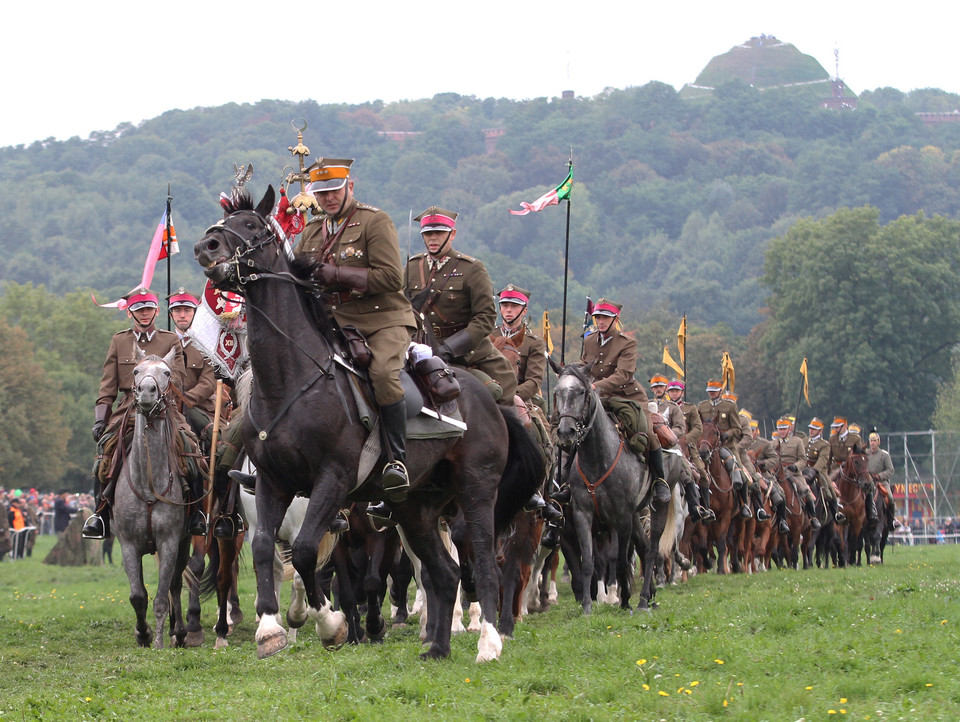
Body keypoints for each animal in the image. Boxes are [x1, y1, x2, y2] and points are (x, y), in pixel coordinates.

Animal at [113, 346, 192, 644]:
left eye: (167, 373)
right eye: (136, 370)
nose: (147, 391)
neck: (147, 483)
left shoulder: (169, 542)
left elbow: (161, 596)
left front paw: (158, 640)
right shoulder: (127, 544)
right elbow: (138, 596)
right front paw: (143, 633)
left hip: (184, 542)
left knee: (175, 584)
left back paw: (178, 631)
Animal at [197, 186, 540, 660]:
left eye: (250, 225)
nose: (205, 247)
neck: (292, 381)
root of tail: (491, 400)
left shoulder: (334, 479)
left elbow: (306, 551)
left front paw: (330, 625)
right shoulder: (271, 481)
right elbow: (268, 546)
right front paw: (269, 629)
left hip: (476, 491)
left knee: (485, 563)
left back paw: (488, 641)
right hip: (415, 506)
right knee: (445, 572)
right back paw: (437, 647)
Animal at [552, 362, 680, 612]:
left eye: (582, 392)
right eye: (557, 392)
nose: (565, 432)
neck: (598, 458)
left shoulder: (620, 517)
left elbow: (619, 559)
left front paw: (624, 599)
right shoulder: (582, 514)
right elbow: (588, 561)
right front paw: (587, 606)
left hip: (656, 507)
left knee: (651, 549)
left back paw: (642, 600)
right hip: (635, 514)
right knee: (642, 545)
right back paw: (648, 595)